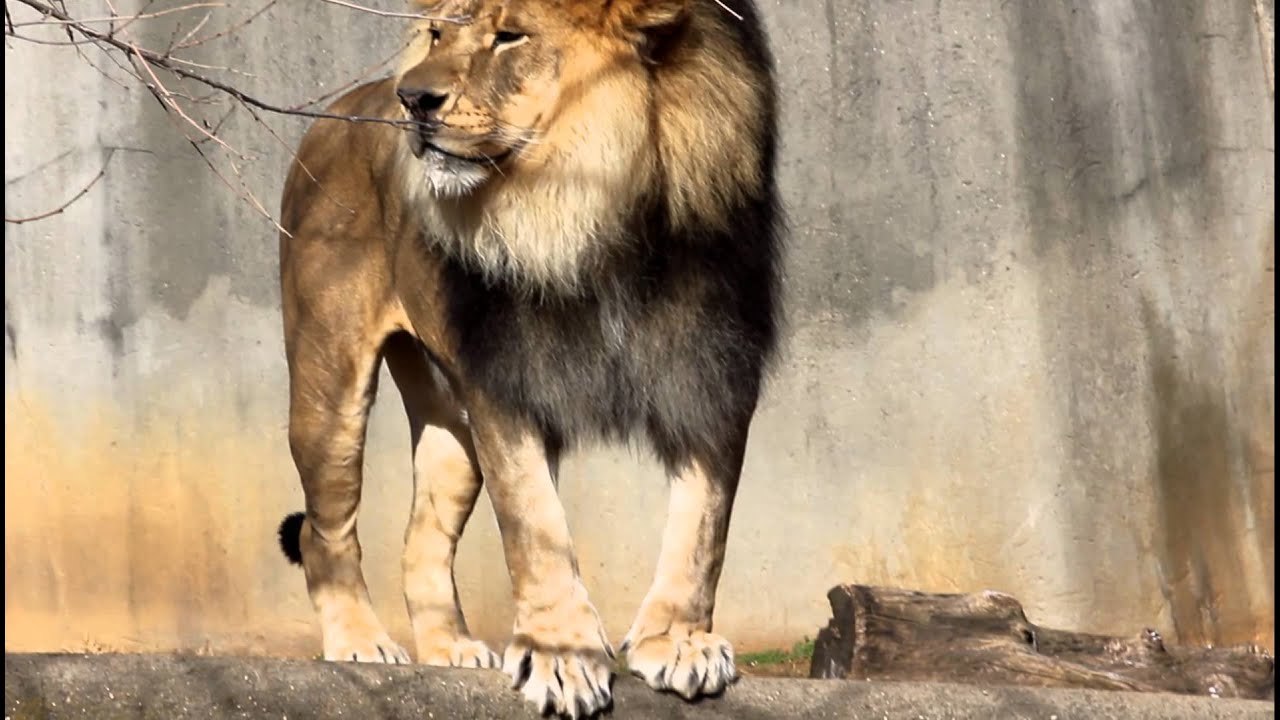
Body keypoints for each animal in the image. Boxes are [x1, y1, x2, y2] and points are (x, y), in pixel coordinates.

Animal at [275, 0, 781, 716]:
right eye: (439, 33)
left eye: (509, 36)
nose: (412, 98)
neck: (589, 220)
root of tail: (342, 109)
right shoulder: (504, 384)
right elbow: (535, 525)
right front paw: (561, 654)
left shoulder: (712, 374)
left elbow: (702, 528)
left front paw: (678, 642)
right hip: (329, 386)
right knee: (325, 531)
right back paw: (358, 642)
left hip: (450, 428)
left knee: (421, 543)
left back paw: (450, 651)